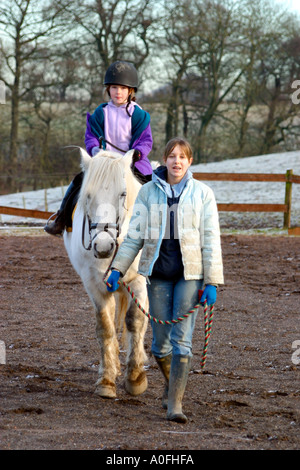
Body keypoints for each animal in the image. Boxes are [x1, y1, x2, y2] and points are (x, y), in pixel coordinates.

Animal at [63, 149, 148, 398]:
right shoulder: (94, 285)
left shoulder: (138, 280)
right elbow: (105, 327)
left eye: (122, 194)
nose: (103, 246)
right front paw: (107, 380)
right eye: (88, 195)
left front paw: (136, 377)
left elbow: (135, 321)